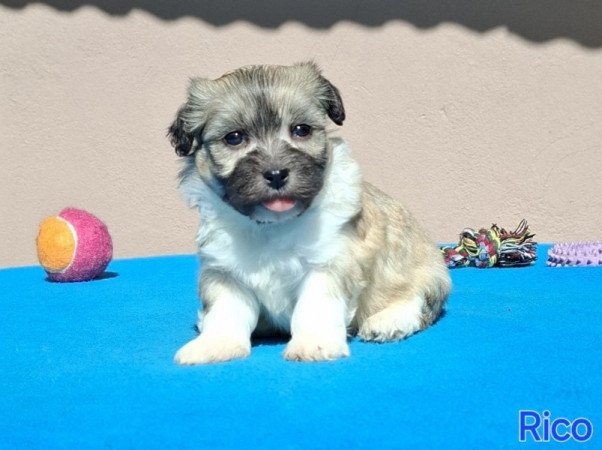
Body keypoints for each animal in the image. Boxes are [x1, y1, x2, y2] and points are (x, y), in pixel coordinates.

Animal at [166, 63, 448, 364]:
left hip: (425, 273)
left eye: (301, 130)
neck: (272, 225)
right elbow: (225, 311)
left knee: (418, 299)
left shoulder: (330, 263)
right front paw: (216, 343)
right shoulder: (225, 272)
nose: (276, 174)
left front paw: (314, 343)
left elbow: (314, 307)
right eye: (234, 138)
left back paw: (388, 320)